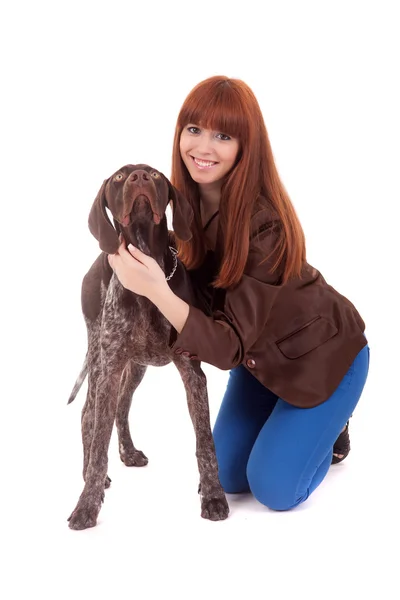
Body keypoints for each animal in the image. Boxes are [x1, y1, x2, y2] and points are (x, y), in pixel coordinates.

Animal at [67, 164, 230, 528]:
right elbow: (98, 445)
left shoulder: (192, 373)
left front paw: (213, 495)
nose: (139, 176)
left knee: (122, 407)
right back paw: (88, 475)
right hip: (99, 359)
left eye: (155, 175)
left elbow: (206, 442)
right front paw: (87, 503)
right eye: (118, 177)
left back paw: (128, 453)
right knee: (88, 415)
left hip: (135, 368)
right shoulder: (110, 369)